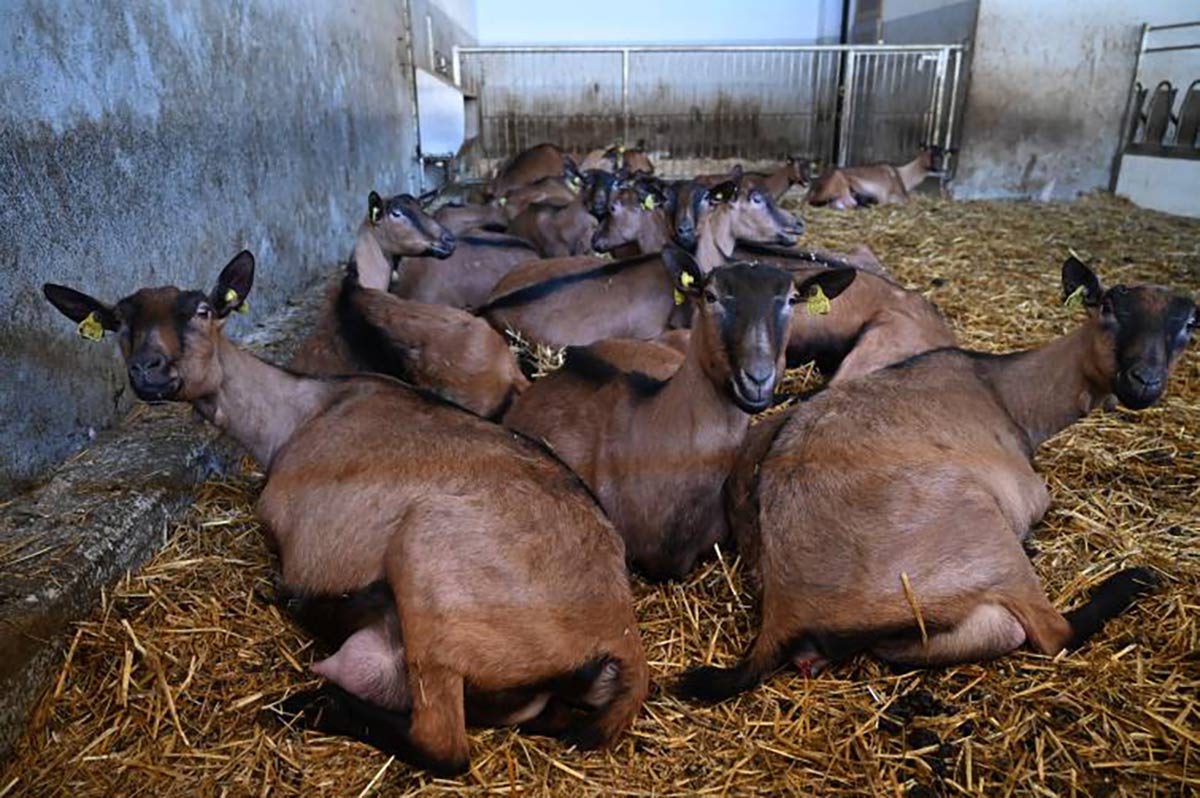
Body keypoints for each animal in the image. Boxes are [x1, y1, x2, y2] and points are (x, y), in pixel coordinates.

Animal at [43, 251, 649, 775]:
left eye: (203, 310)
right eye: (118, 321)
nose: (149, 370)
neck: (301, 413)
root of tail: (618, 633)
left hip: (431, 566)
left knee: (442, 742)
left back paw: (313, 698)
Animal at [679, 257, 1196, 703]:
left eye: (1188, 326)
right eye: (1107, 307)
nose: (1144, 381)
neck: (1005, 391)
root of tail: (784, 612)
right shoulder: (1026, 493)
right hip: (981, 529)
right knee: (1052, 632)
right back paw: (1135, 578)